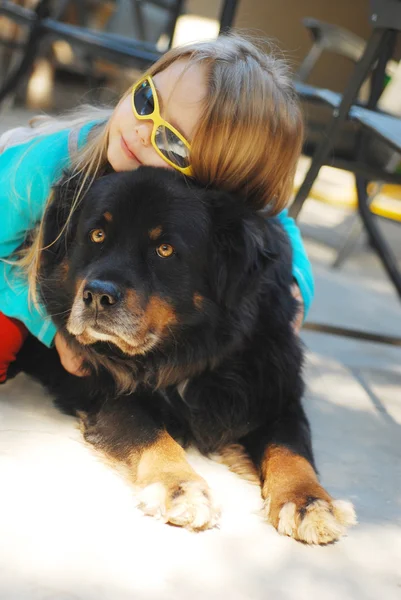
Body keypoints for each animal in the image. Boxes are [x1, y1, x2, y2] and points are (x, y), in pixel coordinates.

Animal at [21, 166, 354, 540]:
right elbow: (150, 433)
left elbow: (292, 449)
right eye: (97, 234)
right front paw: (180, 487)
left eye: (165, 249)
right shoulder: (106, 390)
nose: (97, 296)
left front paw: (309, 502)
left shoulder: (276, 393)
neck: (193, 347)